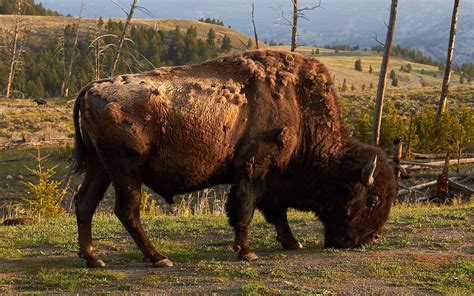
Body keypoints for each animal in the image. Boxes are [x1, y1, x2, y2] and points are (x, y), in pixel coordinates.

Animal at [70, 49, 396, 268]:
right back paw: (159, 258)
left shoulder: (271, 178)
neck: (298, 107)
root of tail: (92, 88)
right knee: (126, 210)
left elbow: (275, 212)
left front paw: (292, 242)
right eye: (372, 200)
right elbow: (246, 209)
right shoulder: (254, 171)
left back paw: (93, 259)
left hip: (100, 168)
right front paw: (247, 252)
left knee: (85, 203)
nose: (369, 239)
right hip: (126, 171)